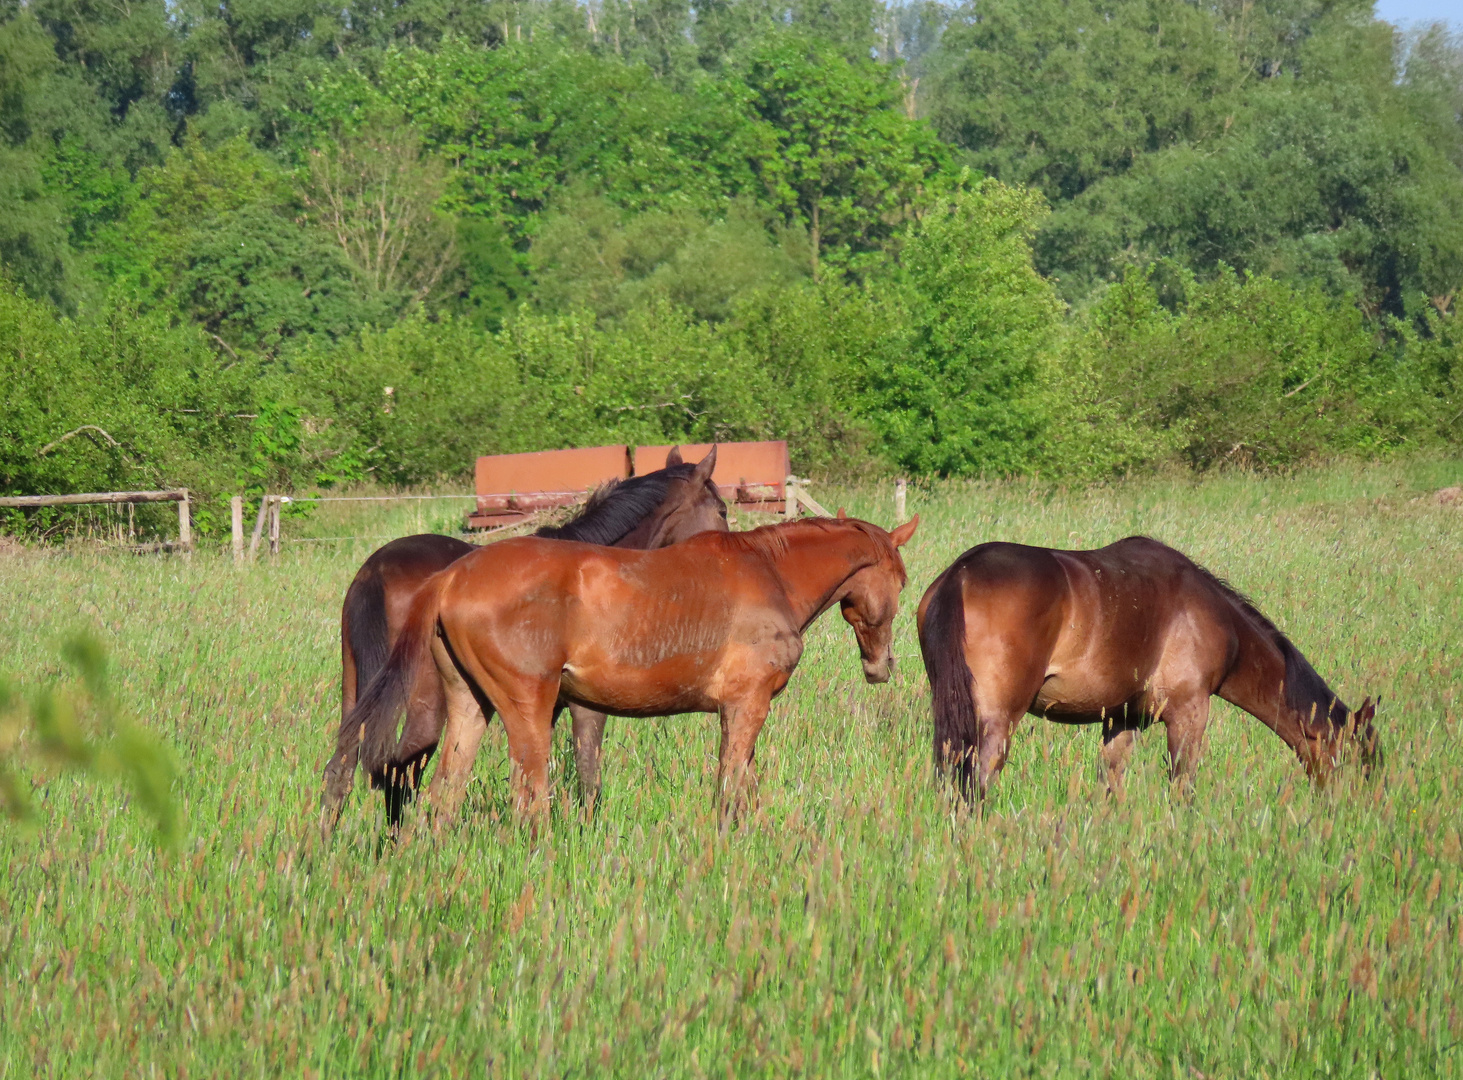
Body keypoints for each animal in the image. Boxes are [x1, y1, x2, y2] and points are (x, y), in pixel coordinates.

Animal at [323, 444, 728, 831]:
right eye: (722, 509)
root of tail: (378, 568)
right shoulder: (585, 707)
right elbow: (587, 777)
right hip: (426, 707)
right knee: (400, 772)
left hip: (358, 694)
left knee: (341, 770)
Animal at [346, 512, 912, 825]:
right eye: (902, 582)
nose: (881, 665)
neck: (769, 572)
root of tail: (450, 577)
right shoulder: (746, 705)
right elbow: (731, 788)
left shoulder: (737, 712)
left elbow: (745, 788)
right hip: (527, 711)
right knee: (529, 799)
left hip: (470, 706)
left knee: (442, 795)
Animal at [918, 532, 1375, 801]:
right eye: (1359, 759)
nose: (1353, 808)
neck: (1212, 618)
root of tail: (961, 573)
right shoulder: (1189, 714)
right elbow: (1182, 786)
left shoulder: (1121, 720)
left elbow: (1111, 787)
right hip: (998, 719)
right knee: (980, 781)